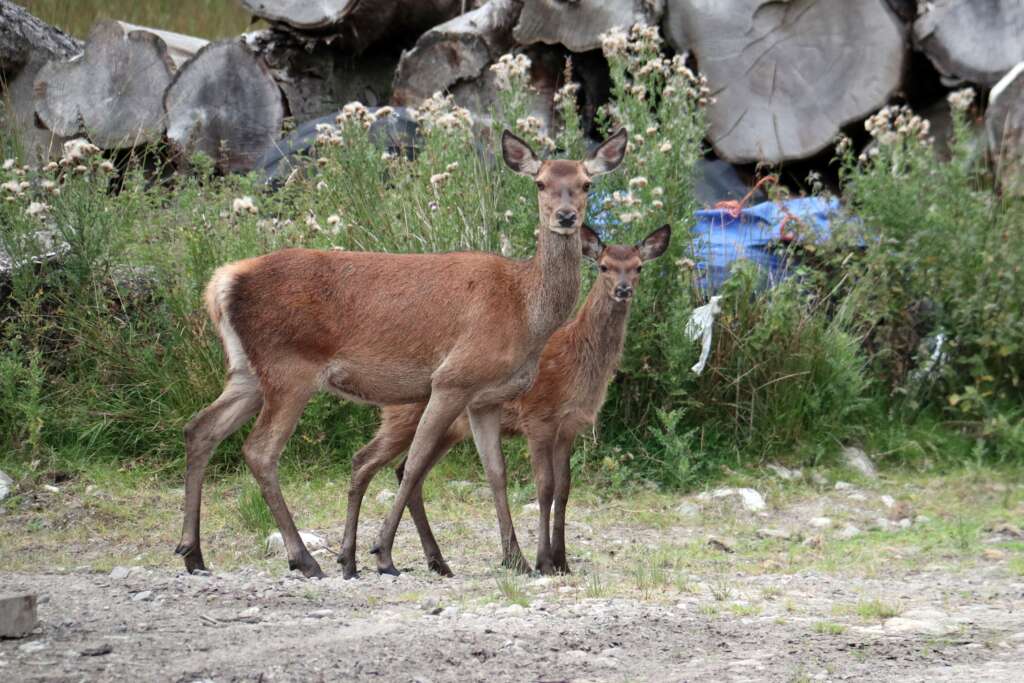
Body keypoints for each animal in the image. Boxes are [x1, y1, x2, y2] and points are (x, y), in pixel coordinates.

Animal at [177, 126, 626, 577]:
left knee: (201, 427)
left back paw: (193, 553)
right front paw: (383, 553)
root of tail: (222, 281)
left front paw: (514, 558)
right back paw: (303, 558)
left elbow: (495, 472)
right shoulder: (452, 378)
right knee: (260, 450)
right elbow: (413, 465)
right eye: (541, 183)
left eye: (586, 183)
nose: (566, 217)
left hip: (247, 372)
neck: (525, 308)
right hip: (288, 368)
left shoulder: (486, 398)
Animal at [342, 224, 671, 577]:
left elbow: (565, 489)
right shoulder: (538, 417)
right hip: (405, 415)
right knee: (366, 460)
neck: (578, 361)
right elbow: (545, 487)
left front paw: (563, 561)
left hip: (449, 428)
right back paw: (357, 559)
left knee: (406, 471)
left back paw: (437, 562)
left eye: (639, 267)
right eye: (604, 266)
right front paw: (544, 561)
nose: (623, 290)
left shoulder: (569, 426)